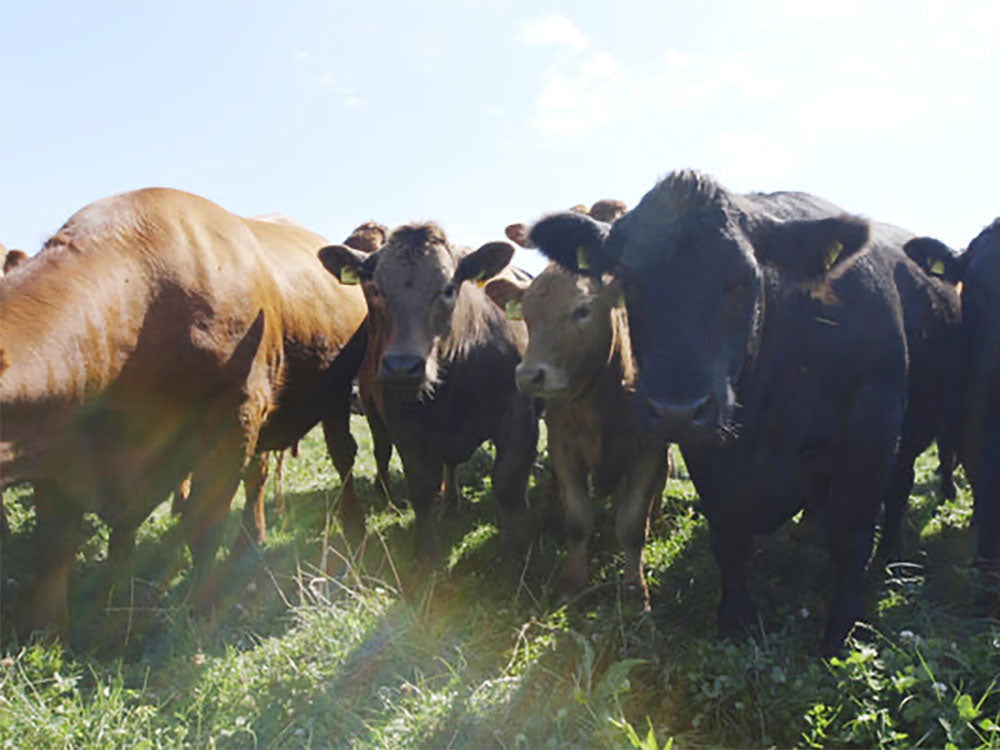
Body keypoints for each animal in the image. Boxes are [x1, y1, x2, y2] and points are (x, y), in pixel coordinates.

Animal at [0, 187, 368, 638]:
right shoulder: (61, 444)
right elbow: (57, 545)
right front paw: (56, 627)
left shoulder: (233, 417)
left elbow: (204, 527)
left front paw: (200, 609)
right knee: (258, 475)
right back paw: (249, 540)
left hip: (334, 396)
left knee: (342, 455)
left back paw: (351, 524)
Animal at [317, 223, 539, 569]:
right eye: (375, 287)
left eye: (448, 288)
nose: (402, 366)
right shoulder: (402, 423)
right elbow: (421, 486)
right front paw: (426, 551)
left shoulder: (519, 414)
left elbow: (508, 480)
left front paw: (512, 552)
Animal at [526, 169, 946, 655]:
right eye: (628, 277)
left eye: (746, 277)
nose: (675, 409)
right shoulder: (710, 453)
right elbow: (728, 535)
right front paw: (734, 621)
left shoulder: (872, 432)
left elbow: (850, 535)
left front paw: (839, 634)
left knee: (896, 492)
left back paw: (889, 558)